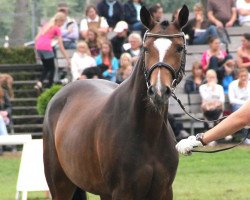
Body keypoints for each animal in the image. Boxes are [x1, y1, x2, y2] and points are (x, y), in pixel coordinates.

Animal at [43, 5, 188, 200]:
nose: (158, 90)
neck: (147, 132)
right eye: (146, 48)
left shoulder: (163, 191)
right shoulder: (123, 192)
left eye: (179, 48)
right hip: (61, 186)